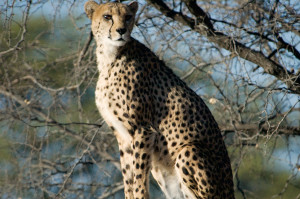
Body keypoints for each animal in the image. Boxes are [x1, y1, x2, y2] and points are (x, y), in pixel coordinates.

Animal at [84, 0, 234, 198]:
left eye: (128, 17)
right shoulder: (122, 136)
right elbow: (128, 177)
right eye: (107, 16)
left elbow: (138, 176)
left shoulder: (143, 129)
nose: (121, 30)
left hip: (188, 150)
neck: (109, 56)